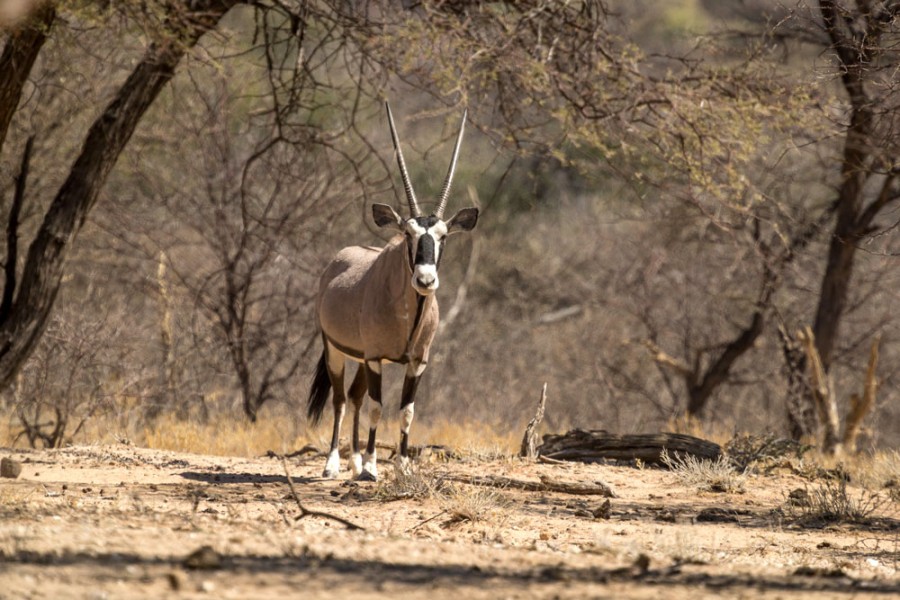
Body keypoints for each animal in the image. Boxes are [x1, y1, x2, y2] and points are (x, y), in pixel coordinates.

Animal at [308, 101, 478, 480]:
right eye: (408, 234)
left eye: (443, 236)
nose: (425, 280)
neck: (407, 315)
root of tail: (336, 261)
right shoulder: (376, 358)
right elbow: (377, 406)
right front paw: (373, 467)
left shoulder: (417, 362)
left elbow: (406, 411)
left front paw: (401, 467)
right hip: (336, 349)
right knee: (341, 399)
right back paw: (335, 463)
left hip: (359, 356)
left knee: (354, 396)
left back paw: (354, 460)